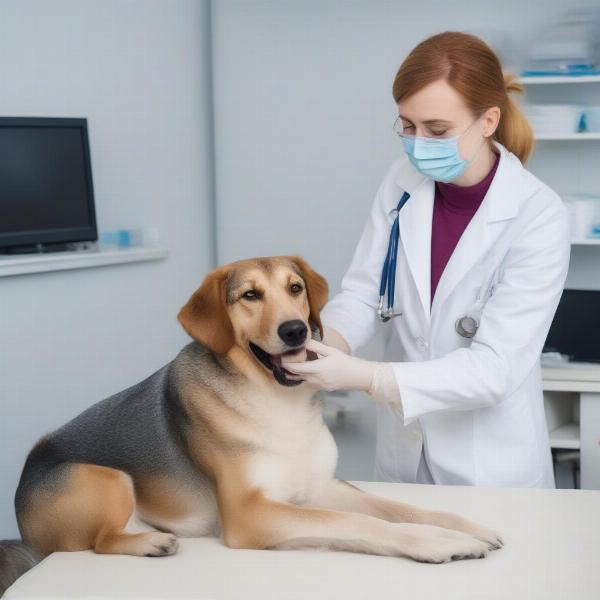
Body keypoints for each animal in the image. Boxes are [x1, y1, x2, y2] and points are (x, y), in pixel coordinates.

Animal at [2, 253, 504, 592]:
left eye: (295, 288)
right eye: (250, 296)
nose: (295, 331)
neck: (274, 403)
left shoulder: (319, 487)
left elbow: (398, 507)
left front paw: (460, 524)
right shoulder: (251, 513)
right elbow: (361, 523)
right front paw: (434, 542)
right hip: (104, 477)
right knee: (102, 540)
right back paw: (150, 544)